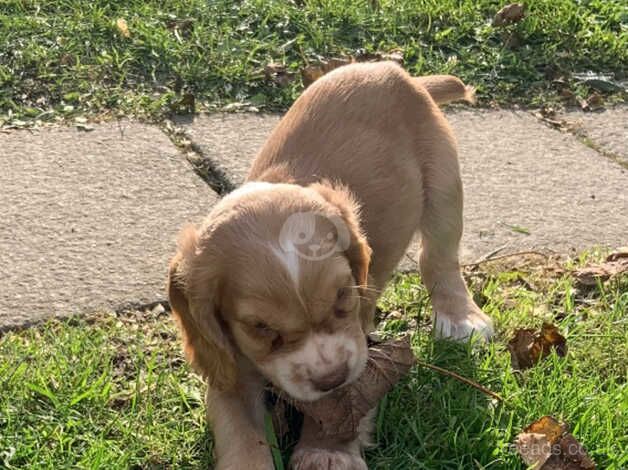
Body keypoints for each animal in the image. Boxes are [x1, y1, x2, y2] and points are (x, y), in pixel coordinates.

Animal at [169, 62, 494, 470]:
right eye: (260, 327)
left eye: (343, 296)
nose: (330, 377)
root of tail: (393, 69)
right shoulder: (229, 366)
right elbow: (241, 434)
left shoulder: (358, 337)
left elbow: (345, 401)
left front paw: (326, 453)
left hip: (444, 183)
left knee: (439, 257)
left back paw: (460, 319)